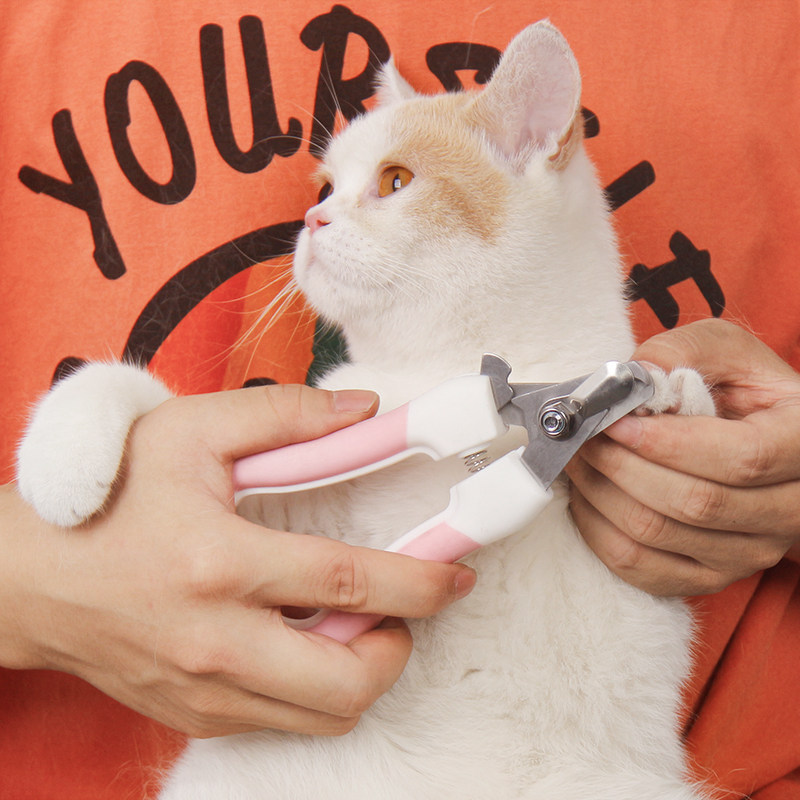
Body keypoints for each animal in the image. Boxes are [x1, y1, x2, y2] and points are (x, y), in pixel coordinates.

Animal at [17, 21, 717, 800]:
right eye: (326, 186)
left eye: (396, 181)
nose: (313, 217)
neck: (435, 367)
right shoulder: (295, 510)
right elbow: (127, 385)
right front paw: (64, 459)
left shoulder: (628, 601)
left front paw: (669, 400)